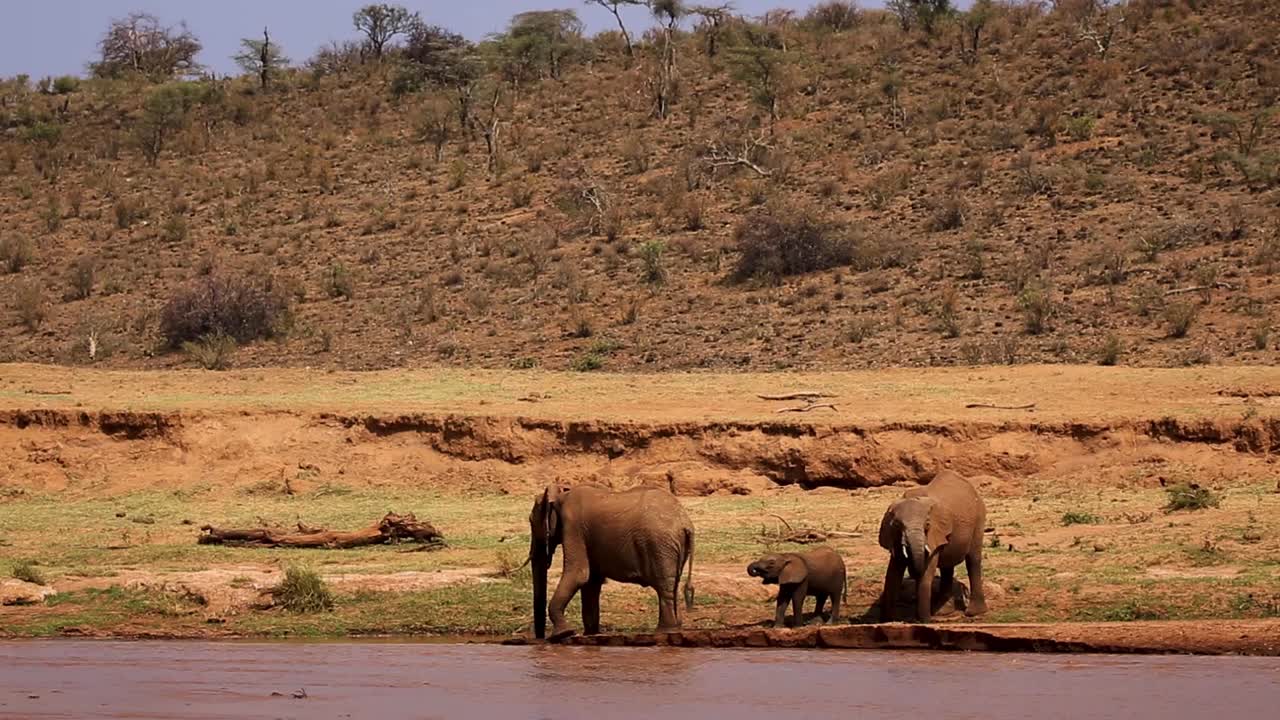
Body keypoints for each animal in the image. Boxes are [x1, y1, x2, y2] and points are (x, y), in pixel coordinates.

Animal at [529, 482, 695, 641]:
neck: (562, 492)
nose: (540, 639)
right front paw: (590, 634)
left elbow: (579, 574)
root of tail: (686, 523)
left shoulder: (573, 526)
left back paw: (664, 631)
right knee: (673, 584)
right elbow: (591, 581)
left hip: (660, 545)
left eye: (531, 522)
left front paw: (562, 635)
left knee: (664, 586)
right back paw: (674, 629)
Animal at [878, 470, 988, 623]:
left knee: (973, 560)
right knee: (947, 567)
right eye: (897, 525)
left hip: (979, 519)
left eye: (927, 525)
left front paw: (923, 621)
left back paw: (973, 613)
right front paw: (887, 621)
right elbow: (893, 573)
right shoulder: (894, 537)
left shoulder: (935, 534)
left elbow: (927, 571)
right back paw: (943, 612)